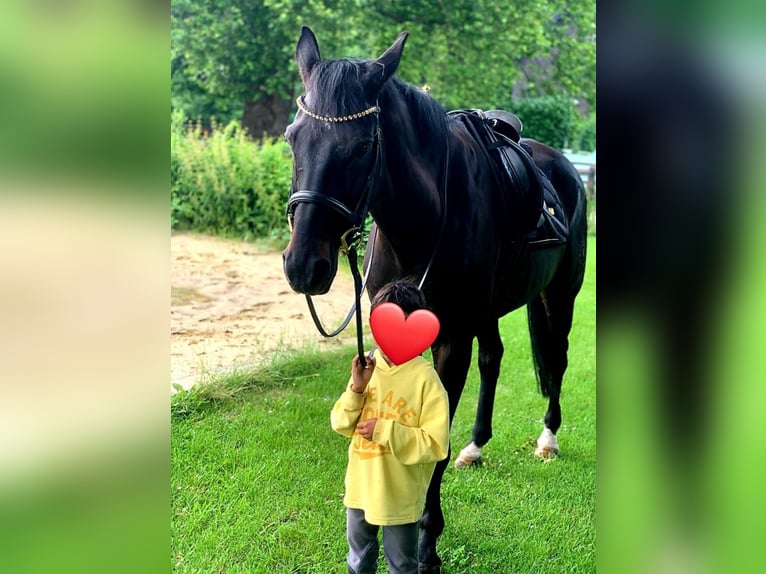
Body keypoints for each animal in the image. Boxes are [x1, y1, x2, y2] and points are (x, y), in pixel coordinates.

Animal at [282, 27, 588, 572]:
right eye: (292, 137)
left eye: (363, 145)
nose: (303, 265)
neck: (426, 217)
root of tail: (566, 169)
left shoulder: (452, 340)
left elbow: (434, 438)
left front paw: (427, 543)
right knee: (495, 358)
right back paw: (477, 446)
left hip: (560, 297)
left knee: (558, 359)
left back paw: (548, 438)